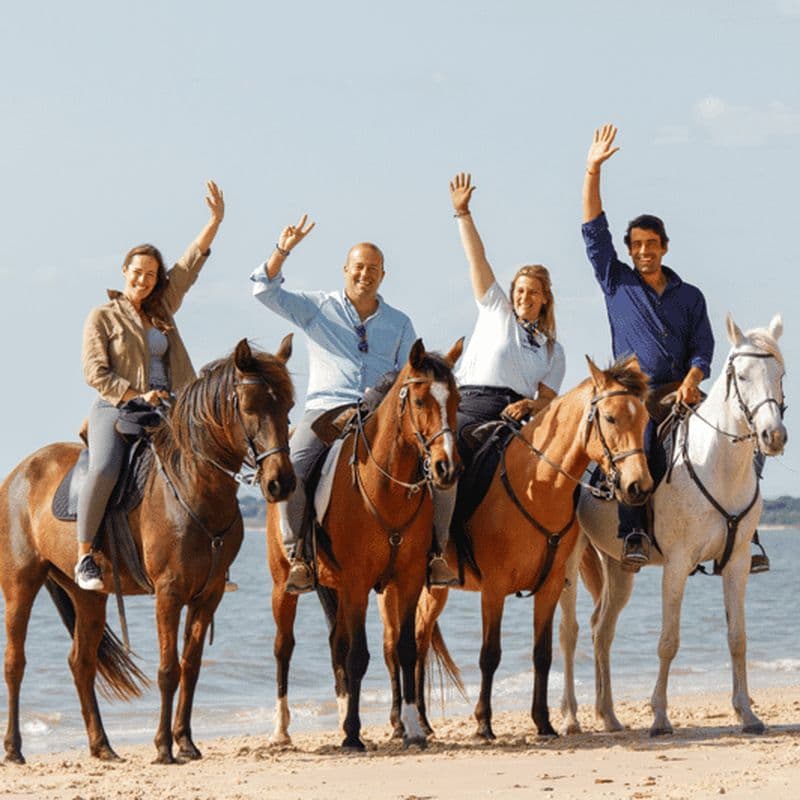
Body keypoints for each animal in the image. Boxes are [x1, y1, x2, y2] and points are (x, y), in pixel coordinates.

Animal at [1, 337, 295, 764]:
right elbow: (167, 670)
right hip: (20, 584)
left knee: (81, 662)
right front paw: (163, 747)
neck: (194, 485)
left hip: (88, 597)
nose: (280, 483)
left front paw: (186, 742)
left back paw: (102, 746)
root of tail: (19, 472)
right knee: (15, 662)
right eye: (249, 406)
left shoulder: (209, 596)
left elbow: (191, 666)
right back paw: (14, 749)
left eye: (288, 406)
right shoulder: (168, 593)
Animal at [267, 338, 463, 750]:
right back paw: (281, 730)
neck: (384, 486)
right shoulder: (357, 582)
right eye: (419, 401)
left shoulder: (406, 580)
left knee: (336, 643)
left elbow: (403, 649)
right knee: (284, 648)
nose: (446, 468)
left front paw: (412, 729)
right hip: (284, 587)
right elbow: (358, 654)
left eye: (456, 401)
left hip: (332, 588)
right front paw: (354, 734)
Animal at [401, 355, 652, 741]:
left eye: (644, 418)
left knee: (423, 638)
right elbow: (490, 654)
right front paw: (484, 722)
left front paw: (543, 721)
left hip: (437, 589)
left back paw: (425, 722)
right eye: (610, 417)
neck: (536, 483)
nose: (638, 486)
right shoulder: (494, 588)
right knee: (416, 639)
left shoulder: (550, 586)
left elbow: (542, 654)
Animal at [558, 313, 787, 737]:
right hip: (568, 560)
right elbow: (668, 640)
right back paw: (570, 717)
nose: (773, 435)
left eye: (780, 373)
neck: (717, 465)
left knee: (602, 630)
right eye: (741, 375)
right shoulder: (678, 564)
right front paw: (660, 717)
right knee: (570, 632)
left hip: (619, 567)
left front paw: (746, 713)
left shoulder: (737, 564)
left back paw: (608, 715)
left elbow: (738, 638)